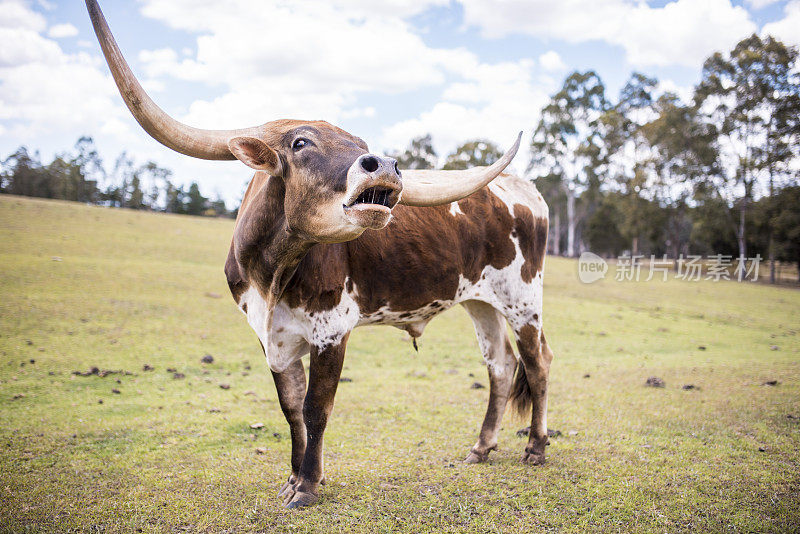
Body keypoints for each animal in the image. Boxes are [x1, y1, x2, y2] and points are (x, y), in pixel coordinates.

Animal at [86, 0, 552, 510]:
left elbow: (316, 406)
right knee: (500, 365)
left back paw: (535, 449)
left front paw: (308, 486)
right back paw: (482, 447)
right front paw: (294, 477)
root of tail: (524, 189)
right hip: (479, 302)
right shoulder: (271, 335)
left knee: (536, 362)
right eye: (300, 142)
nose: (385, 165)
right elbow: (291, 407)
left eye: (362, 147)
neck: (274, 273)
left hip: (523, 300)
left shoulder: (332, 329)